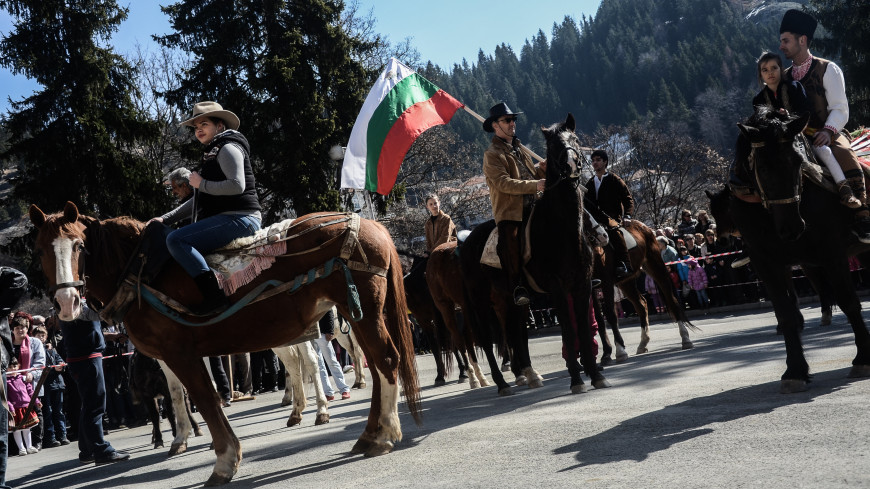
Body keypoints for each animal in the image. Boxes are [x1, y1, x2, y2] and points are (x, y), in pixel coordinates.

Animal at [28, 201, 422, 484]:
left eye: (80, 246)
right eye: (41, 250)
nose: (66, 302)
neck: (141, 273)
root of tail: (369, 224)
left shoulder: (181, 353)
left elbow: (205, 399)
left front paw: (224, 460)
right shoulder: (170, 358)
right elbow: (183, 398)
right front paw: (185, 440)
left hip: (360, 314)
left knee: (384, 360)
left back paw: (383, 434)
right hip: (354, 316)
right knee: (370, 365)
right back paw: (366, 432)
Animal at [716, 105, 870, 390]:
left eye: (798, 162)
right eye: (763, 167)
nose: (793, 227)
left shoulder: (833, 253)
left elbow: (849, 301)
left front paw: (863, 357)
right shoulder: (766, 263)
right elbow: (785, 314)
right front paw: (795, 371)